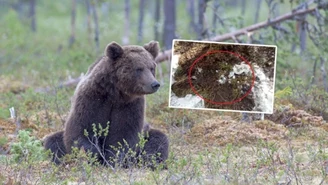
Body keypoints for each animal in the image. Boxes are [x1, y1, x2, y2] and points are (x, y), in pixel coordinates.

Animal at [43, 40, 169, 168]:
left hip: (146, 132)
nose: (155, 84)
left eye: (152, 67)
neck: (115, 92)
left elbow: (124, 134)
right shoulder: (92, 99)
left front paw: (113, 159)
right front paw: (92, 155)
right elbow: (81, 129)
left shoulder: (130, 105)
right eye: (139, 68)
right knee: (53, 141)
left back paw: (149, 161)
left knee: (158, 139)